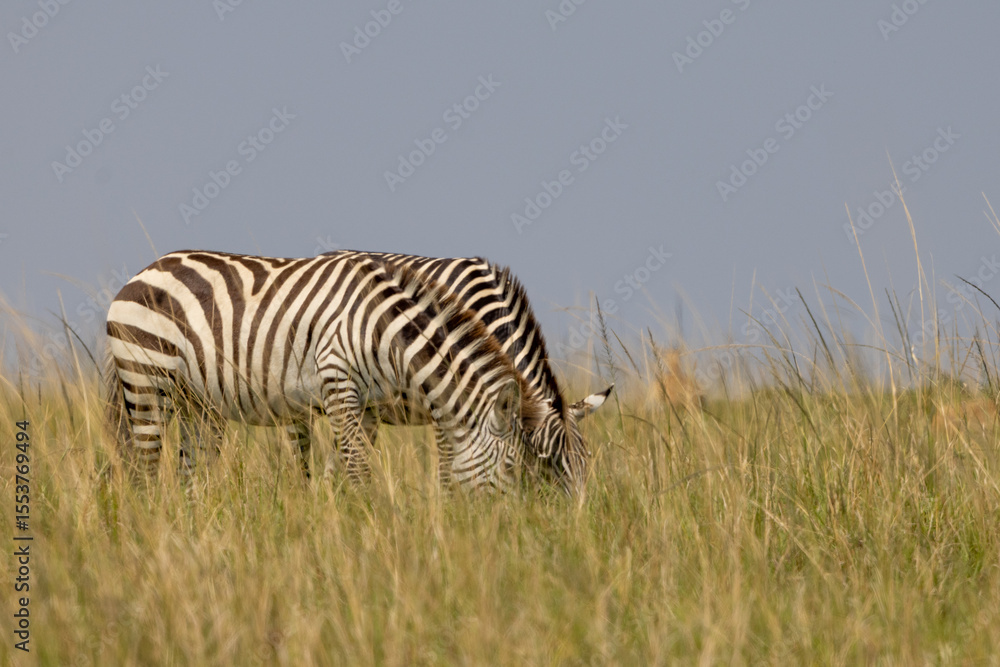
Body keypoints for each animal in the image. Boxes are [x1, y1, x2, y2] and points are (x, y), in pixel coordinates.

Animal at [104, 250, 550, 492]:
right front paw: (366, 529)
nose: (504, 529)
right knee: (145, 469)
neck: (385, 330)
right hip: (145, 379)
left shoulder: (368, 404)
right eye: (513, 467)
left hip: (197, 402)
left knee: (190, 473)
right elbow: (357, 468)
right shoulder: (339, 380)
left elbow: (345, 467)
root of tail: (143, 271)